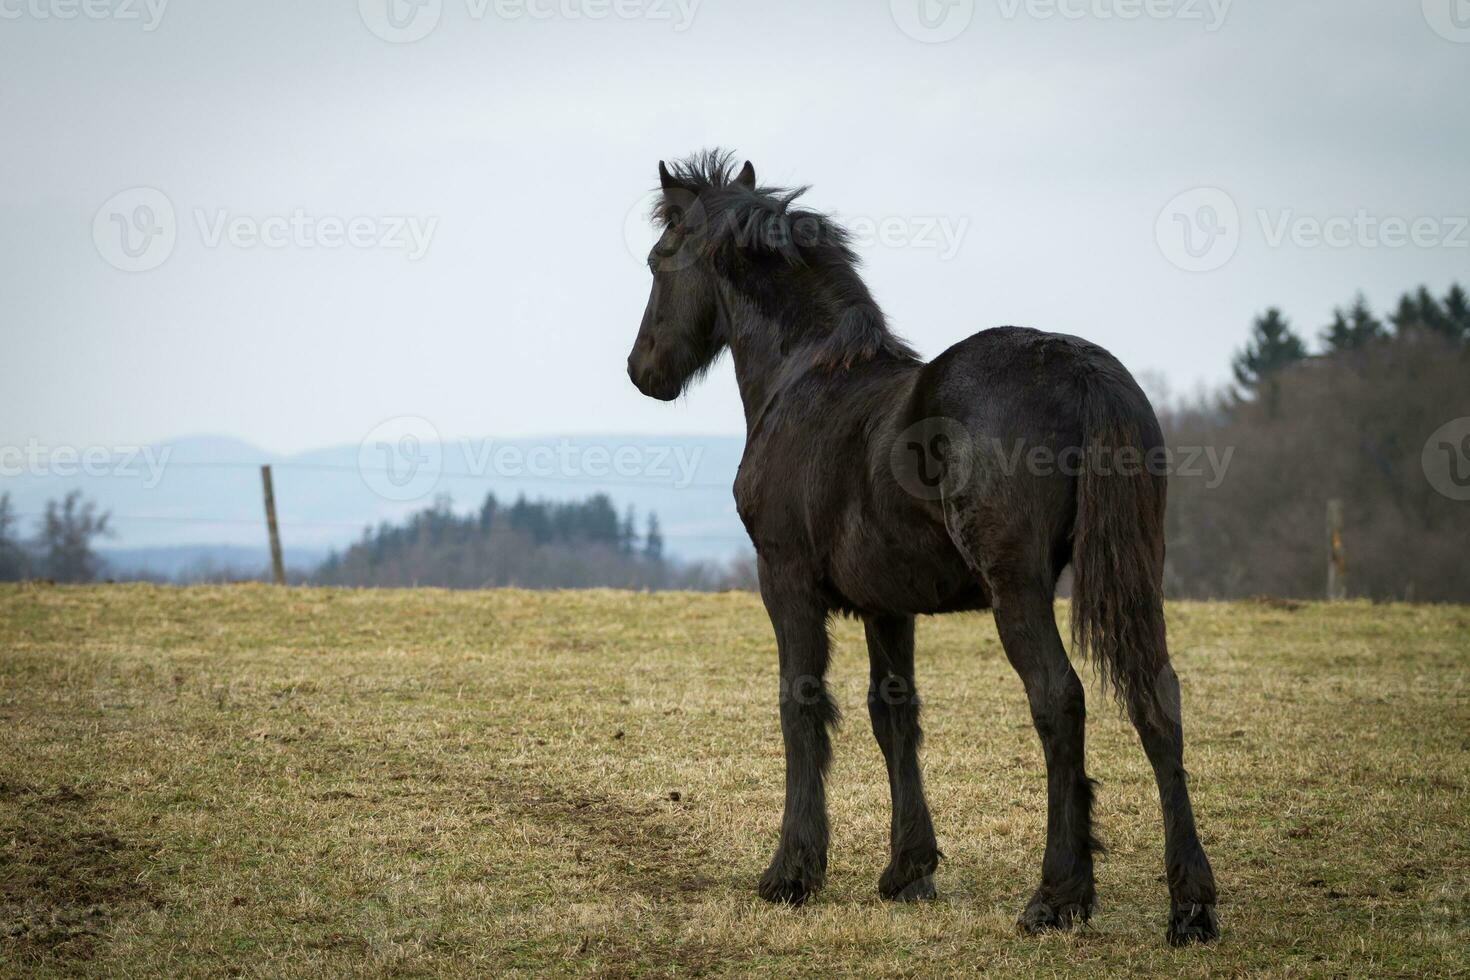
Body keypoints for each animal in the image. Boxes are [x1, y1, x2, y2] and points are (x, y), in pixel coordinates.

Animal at [629, 151, 1217, 940]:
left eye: (659, 259)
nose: (644, 371)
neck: (805, 382)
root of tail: (1080, 367)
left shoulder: (784, 579)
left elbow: (801, 704)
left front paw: (792, 873)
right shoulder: (887, 604)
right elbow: (893, 713)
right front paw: (908, 871)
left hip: (1017, 587)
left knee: (1059, 700)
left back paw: (1058, 896)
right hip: (1135, 576)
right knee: (1157, 698)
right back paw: (1191, 906)